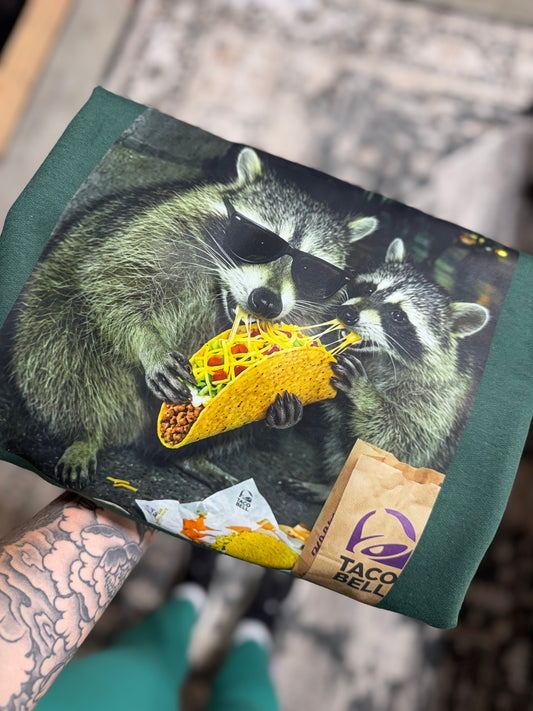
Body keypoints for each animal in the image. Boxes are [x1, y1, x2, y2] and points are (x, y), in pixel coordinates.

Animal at [10, 146, 378, 488]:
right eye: (259, 241)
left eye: (312, 271)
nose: (267, 302)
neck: (218, 292)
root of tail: (129, 432)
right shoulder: (159, 234)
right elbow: (113, 282)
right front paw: (150, 345)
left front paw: (285, 399)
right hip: (49, 305)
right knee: (59, 357)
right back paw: (86, 433)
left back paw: (188, 456)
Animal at [322, 237, 490, 486]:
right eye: (369, 288)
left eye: (398, 316)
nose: (347, 314)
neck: (380, 359)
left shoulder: (440, 401)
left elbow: (398, 442)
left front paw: (366, 395)